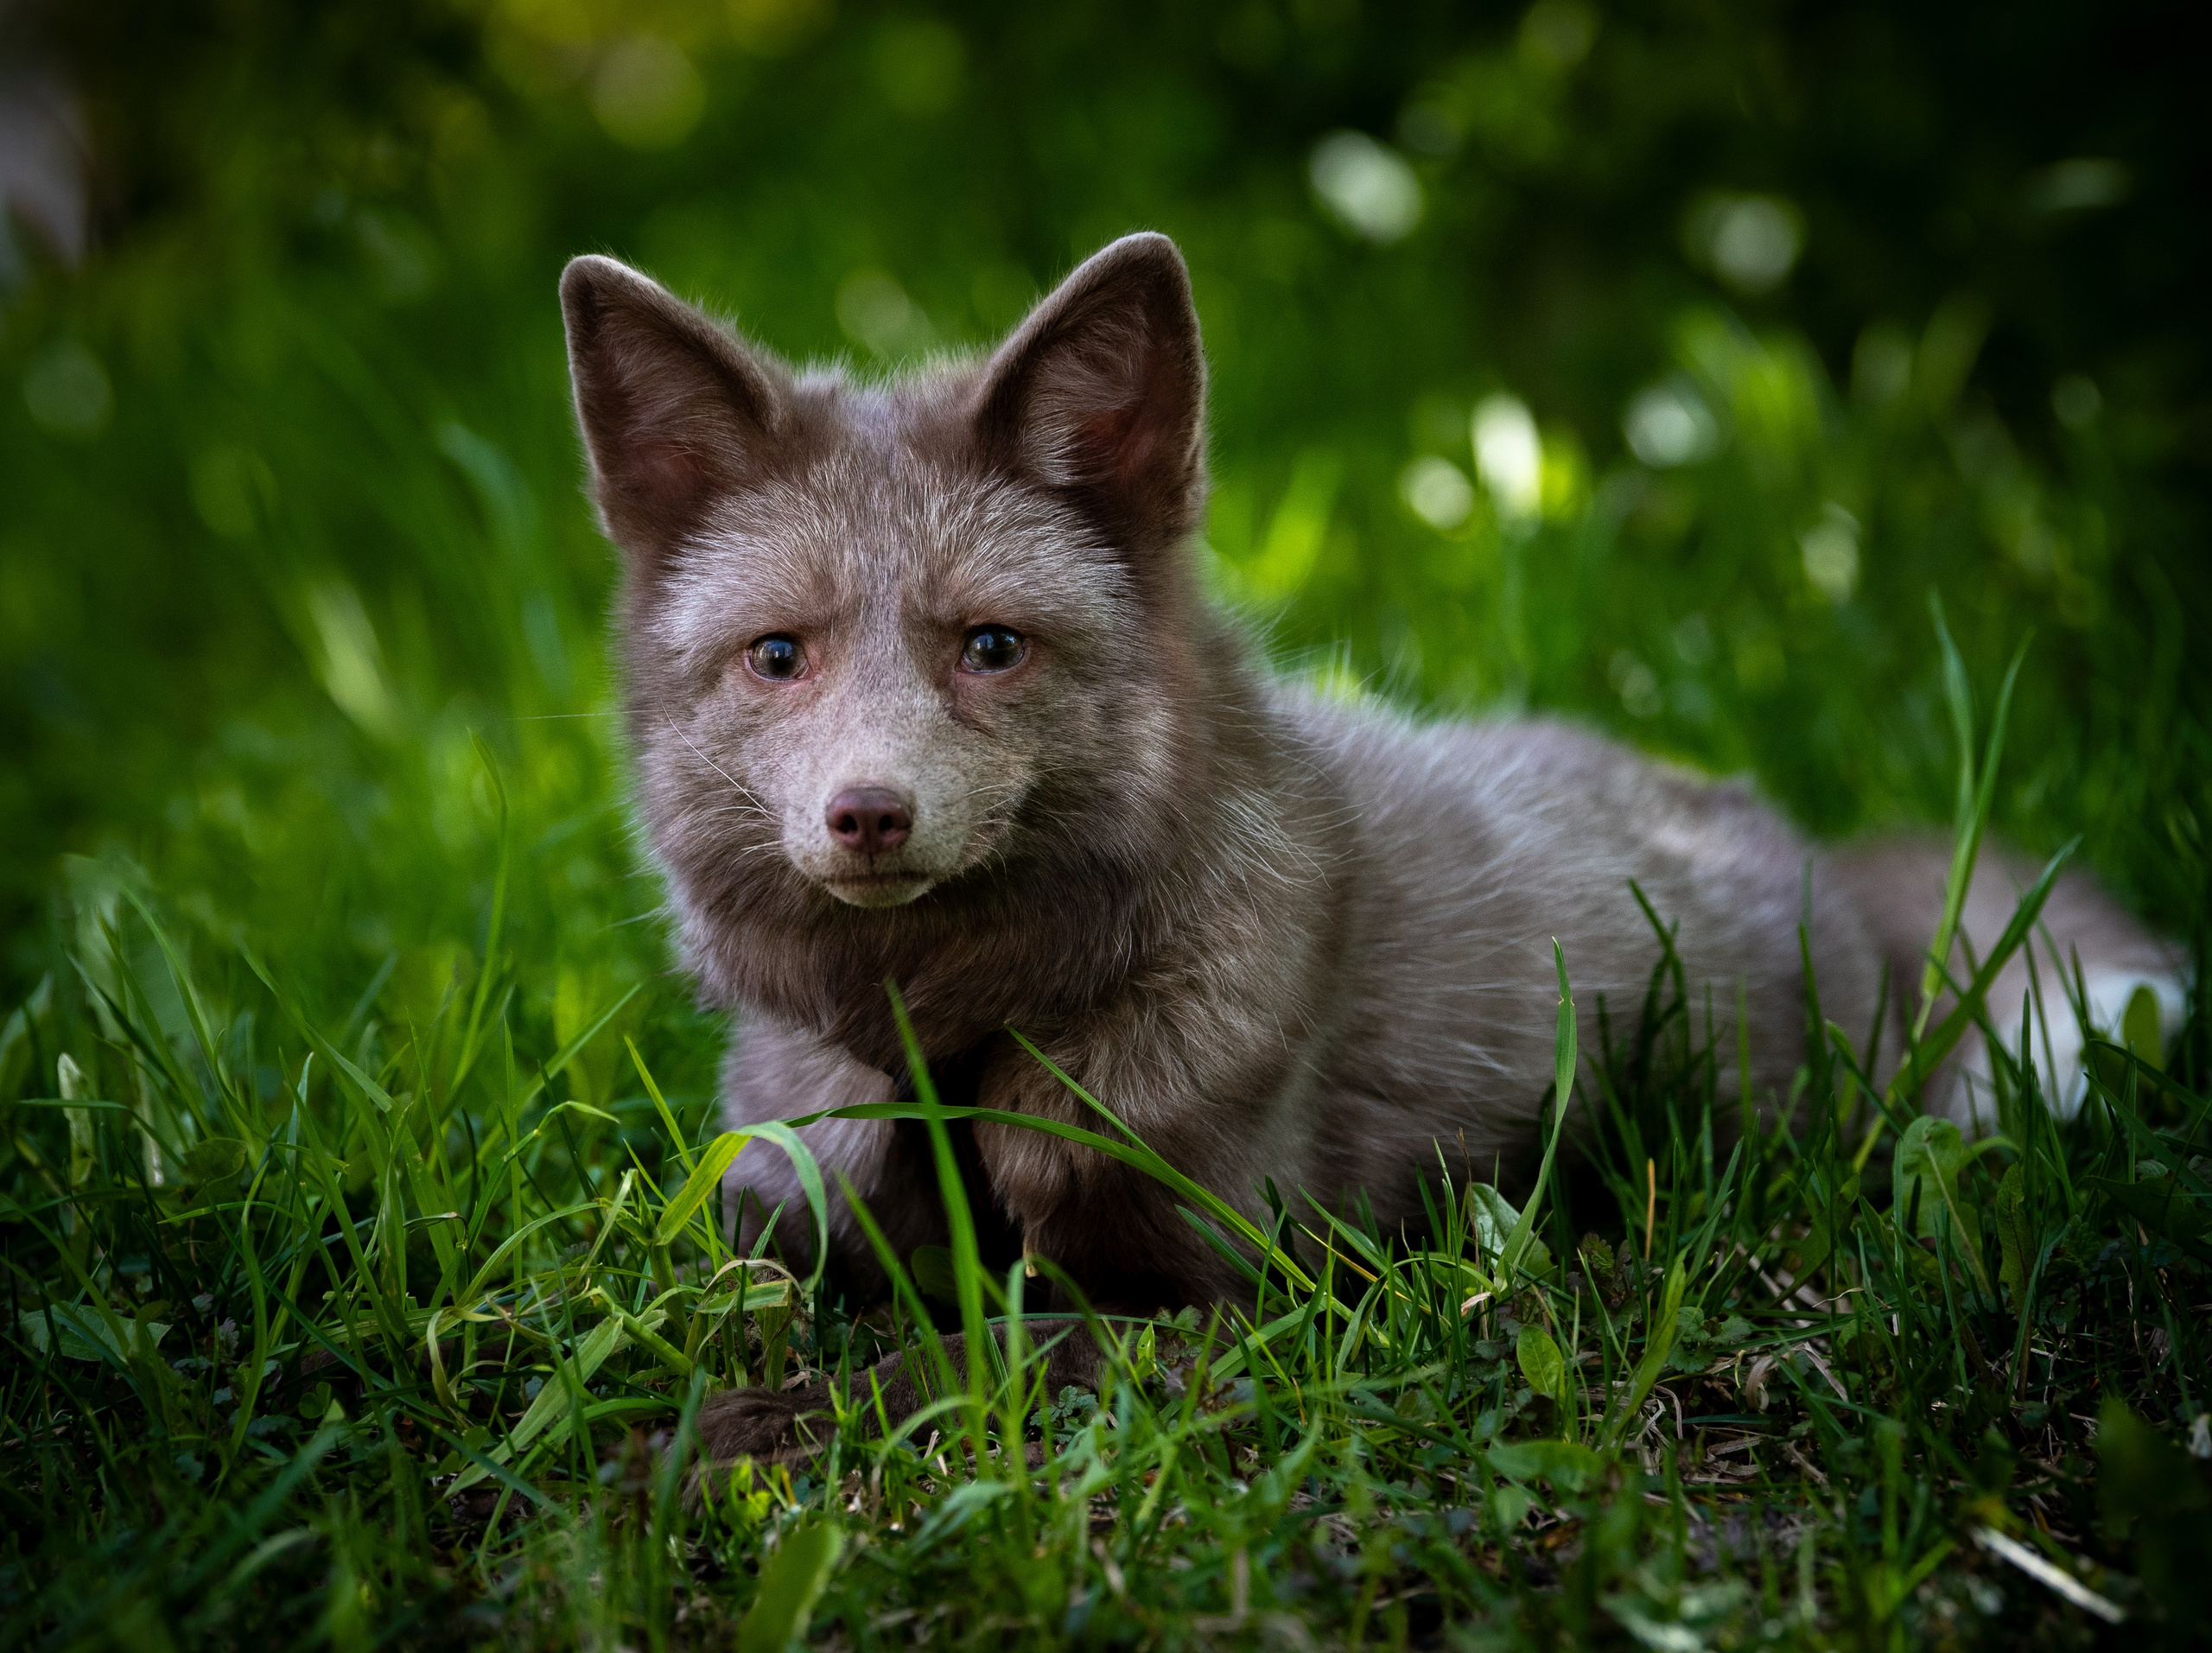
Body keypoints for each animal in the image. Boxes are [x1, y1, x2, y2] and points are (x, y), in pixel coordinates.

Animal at [557, 232, 2186, 1465]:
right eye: (780, 655)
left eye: (992, 646)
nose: (868, 814)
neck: (953, 1052)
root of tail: (1817, 855)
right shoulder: (783, 1199)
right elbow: (684, 1288)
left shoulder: (1254, 1296)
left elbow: (964, 1357)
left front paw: (743, 1428)